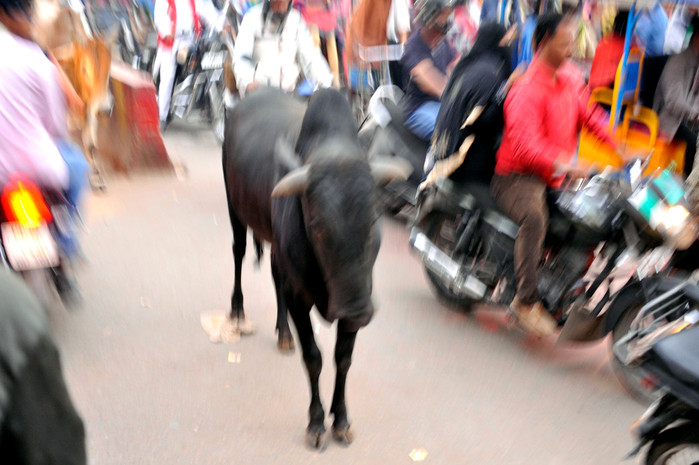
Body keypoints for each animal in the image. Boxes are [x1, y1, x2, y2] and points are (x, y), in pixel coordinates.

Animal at [223, 87, 410, 446]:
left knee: (274, 273)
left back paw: (283, 333)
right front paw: (316, 422)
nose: (356, 310)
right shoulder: (301, 299)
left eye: (374, 218)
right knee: (238, 253)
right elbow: (314, 358)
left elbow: (343, 359)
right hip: (235, 210)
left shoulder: (357, 296)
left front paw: (341, 418)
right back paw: (238, 310)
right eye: (316, 224)